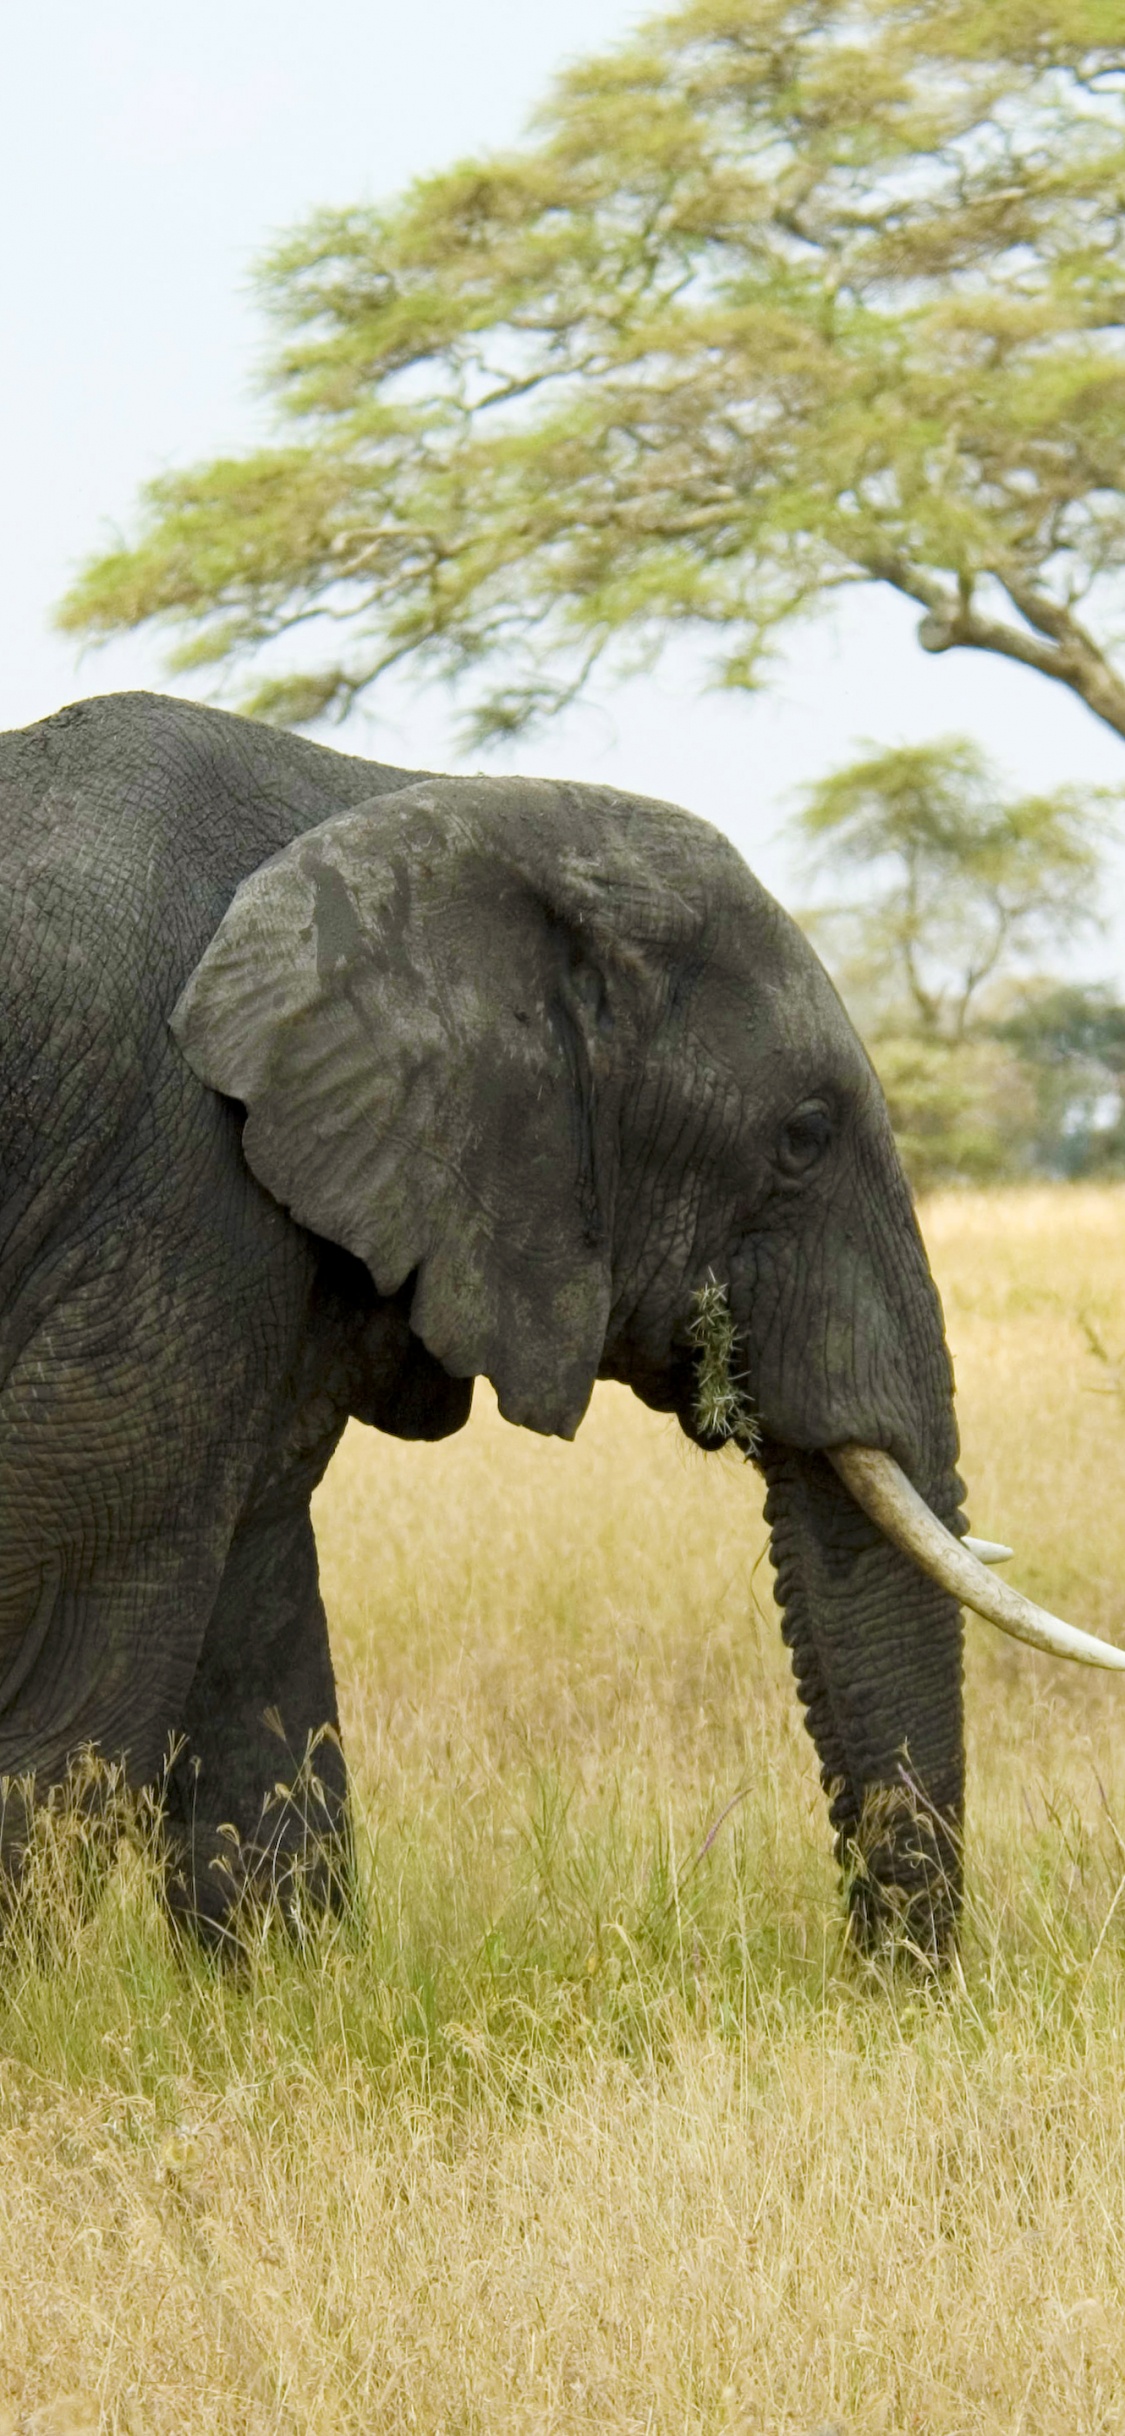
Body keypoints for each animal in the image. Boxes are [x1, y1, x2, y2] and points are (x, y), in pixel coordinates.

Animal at [1, 691, 1117, 1960]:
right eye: (803, 1136)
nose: (886, 1984)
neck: (408, 801)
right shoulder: (177, 1181)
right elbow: (76, 1681)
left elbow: (257, 1636)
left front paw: (284, 1983)